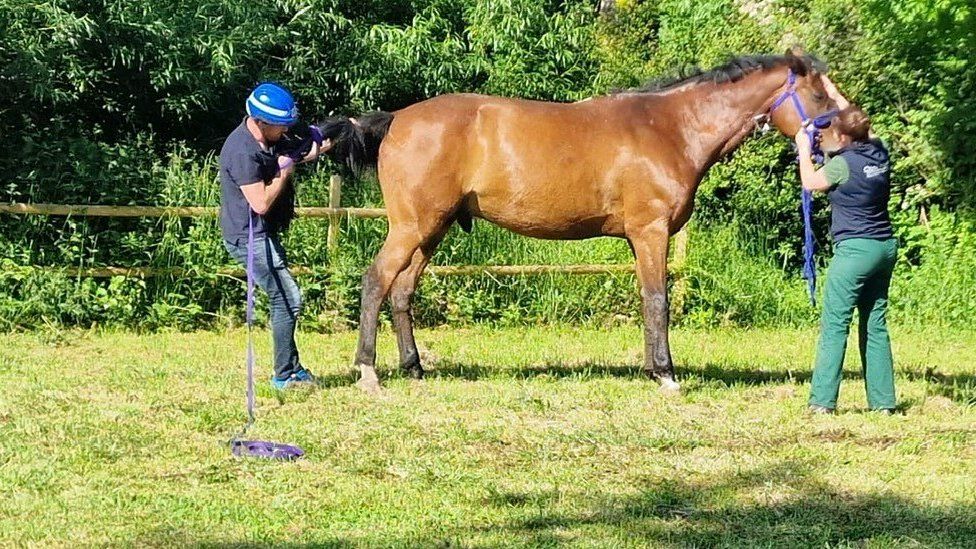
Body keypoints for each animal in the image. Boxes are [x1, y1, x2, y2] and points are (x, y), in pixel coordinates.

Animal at [324, 51, 836, 392]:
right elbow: (658, 300)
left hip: (432, 229)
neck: (670, 128)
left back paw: (414, 368)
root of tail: (395, 119)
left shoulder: (637, 239)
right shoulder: (650, 232)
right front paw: (667, 374)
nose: (846, 134)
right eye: (817, 93)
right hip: (412, 227)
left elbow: (646, 300)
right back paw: (368, 371)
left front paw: (651, 368)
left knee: (402, 292)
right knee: (376, 281)